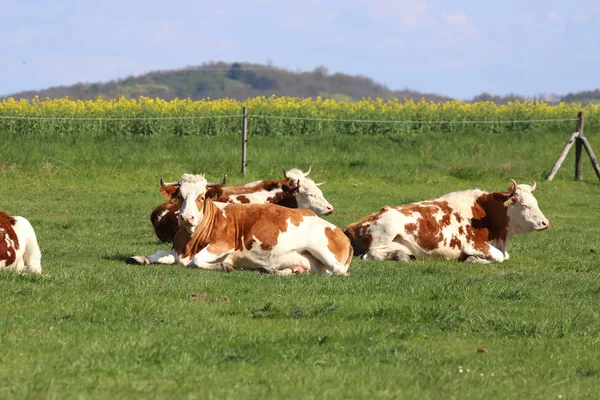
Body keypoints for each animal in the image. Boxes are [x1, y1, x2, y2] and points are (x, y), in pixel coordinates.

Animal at [342, 180, 548, 262]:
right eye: (525, 205)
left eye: (536, 202)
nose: (546, 223)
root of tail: (351, 225)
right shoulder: (475, 243)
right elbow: (499, 256)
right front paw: (472, 260)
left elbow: (505, 256)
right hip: (388, 228)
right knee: (371, 254)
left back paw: (402, 254)